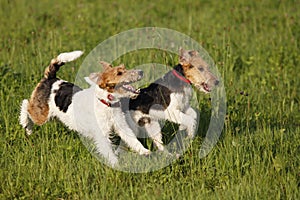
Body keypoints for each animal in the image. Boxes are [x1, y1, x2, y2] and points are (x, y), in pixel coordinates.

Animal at [18, 50, 150, 166]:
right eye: (119, 73)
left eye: (124, 68)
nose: (141, 72)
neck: (106, 103)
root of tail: (51, 78)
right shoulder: (102, 134)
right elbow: (109, 152)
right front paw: (116, 164)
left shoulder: (122, 127)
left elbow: (133, 140)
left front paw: (145, 151)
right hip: (41, 115)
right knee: (25, 104)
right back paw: (27, 126)